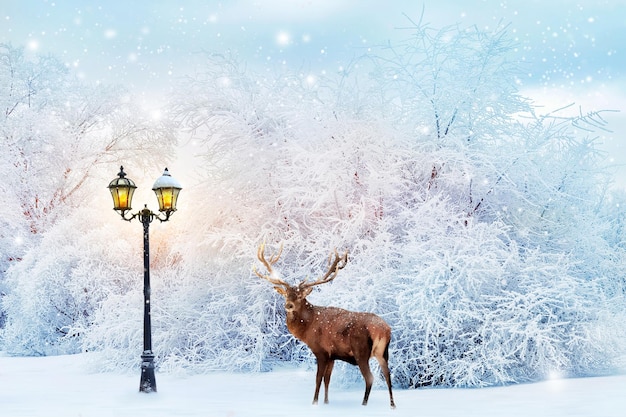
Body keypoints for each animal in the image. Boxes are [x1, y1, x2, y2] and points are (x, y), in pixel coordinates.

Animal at [251, 242, 392, 408]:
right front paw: (326, 402)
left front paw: (314, 403)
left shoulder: (321, 352)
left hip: (361, 351)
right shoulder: (332, 356)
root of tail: (384, 330)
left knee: (370, 378)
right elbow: (327, 380)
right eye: (286, 294)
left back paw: (364, 404)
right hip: (383, 352)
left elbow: (318, 379)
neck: (307, 328)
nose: (289, 305)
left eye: (300, 295)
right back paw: (392, 405)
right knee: (388, 375)